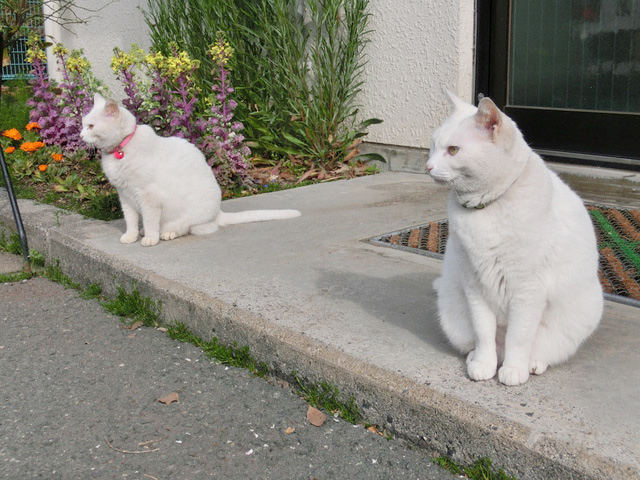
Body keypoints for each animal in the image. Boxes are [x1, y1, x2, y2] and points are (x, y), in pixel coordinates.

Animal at [80, 93, 300, 248]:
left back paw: (166, 233)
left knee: (191, 228)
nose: (81, 135)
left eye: (90, 126)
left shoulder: (148, 198)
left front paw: (150, 237)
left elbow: (149, 219)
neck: (119, 150)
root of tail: (218, 213)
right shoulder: (125, 196)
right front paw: (131, 235)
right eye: (83, 125)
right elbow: (131, 220)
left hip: (193, 215)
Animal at [428, 94, 604, 386]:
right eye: (433, 144)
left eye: (453, 150)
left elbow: (519, 337)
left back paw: (530, 364)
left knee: (538, 348)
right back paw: (476, 358)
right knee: (481, 341)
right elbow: (483, 333)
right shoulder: (475, 286)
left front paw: (513, 370)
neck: (484, 209)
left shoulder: (528, 291)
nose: (428, 166)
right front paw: (484, 365)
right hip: (452, 309)